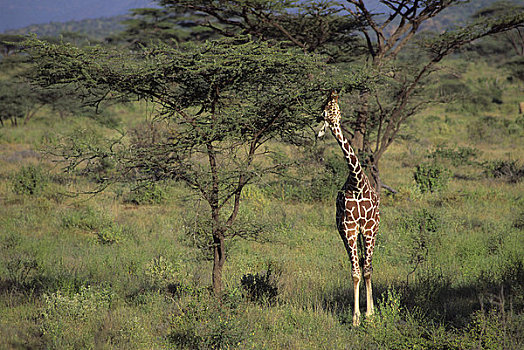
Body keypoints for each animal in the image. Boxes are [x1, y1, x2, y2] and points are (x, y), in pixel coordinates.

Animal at [318, 90, 378, 326]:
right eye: (325, 111)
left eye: (337, 108)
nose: (333, 93)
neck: (357, 183)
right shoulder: (349, 228)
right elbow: (355, 273)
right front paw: (356, 318)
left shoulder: (369, 228)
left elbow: (367, 270)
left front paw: (370, 315)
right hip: (346, 233)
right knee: (358, 264)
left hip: (369, 232)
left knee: (366, 264)